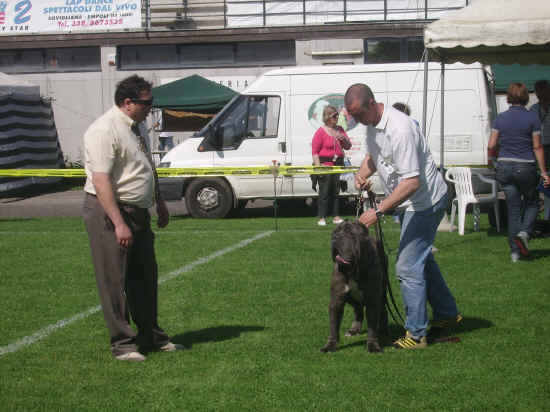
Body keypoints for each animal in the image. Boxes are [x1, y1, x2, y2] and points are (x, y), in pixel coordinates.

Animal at [322, 220, 390, 352]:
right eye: (335, 231)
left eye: (349, 233)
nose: (334, 237)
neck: (353, 269)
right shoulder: (336, 301)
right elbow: (333, 326)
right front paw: (330, 345)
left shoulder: (372, 300)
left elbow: (372, 326)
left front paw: (373, 345)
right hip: (351, 298)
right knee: (358, 310)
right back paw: (354, 330)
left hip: (382, 292)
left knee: (383, 309)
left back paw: (383, 329)